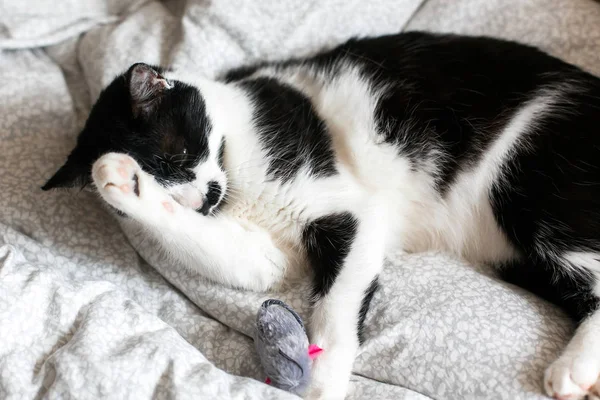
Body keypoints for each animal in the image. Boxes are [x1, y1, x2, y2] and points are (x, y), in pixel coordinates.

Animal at [42, 32, 600, 400]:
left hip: (528, 182)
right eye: (164, 174)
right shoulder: (257, 248)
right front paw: (122, 183)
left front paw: (325, 378)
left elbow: (335, 304)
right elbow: (251, 264)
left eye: (178, 155)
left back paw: (572, 371)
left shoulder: (350, 208)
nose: (202, 200)